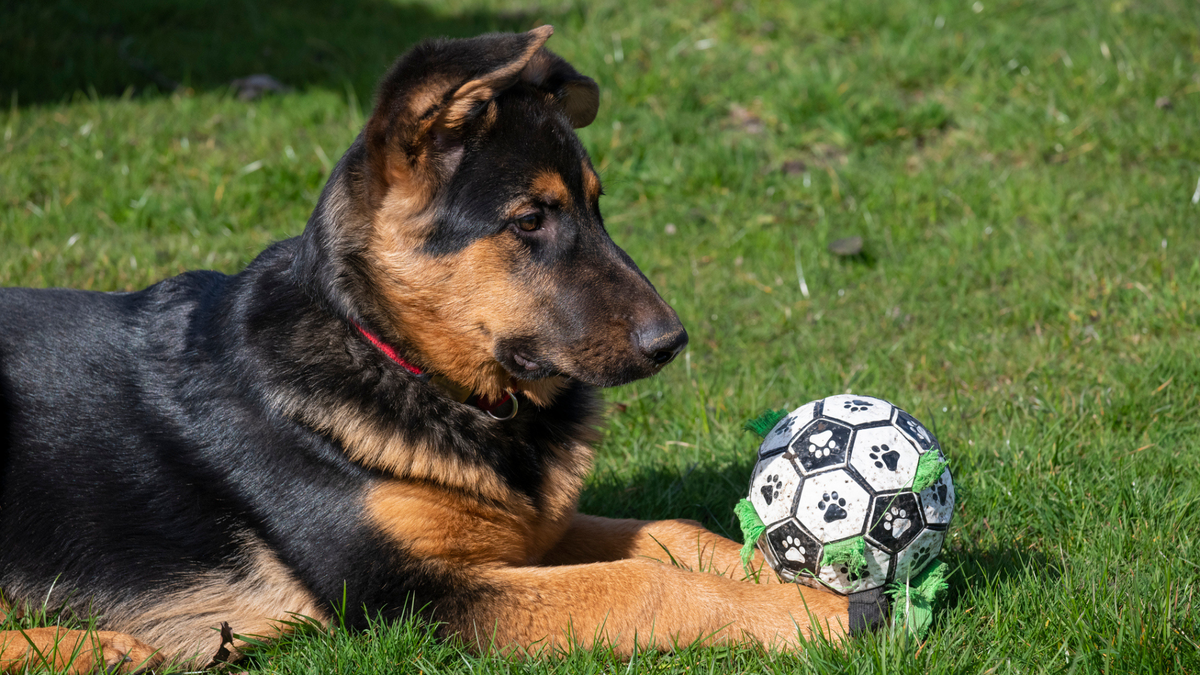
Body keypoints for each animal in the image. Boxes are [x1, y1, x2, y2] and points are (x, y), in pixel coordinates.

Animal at [2, 27, 844, 672]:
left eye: (596, 206)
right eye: (531, 219)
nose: (672, 341)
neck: (398, 358)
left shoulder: (524, 537)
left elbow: (673, 536)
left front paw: (808, 575)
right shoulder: (412, 597)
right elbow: (641, 581)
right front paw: (816, 616)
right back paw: (95, 646)